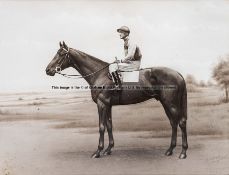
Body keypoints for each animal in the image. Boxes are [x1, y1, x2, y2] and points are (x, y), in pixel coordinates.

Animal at [45, 41, 188, 159]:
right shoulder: (108, 105)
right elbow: (109, 125)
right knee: (173, 123)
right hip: (165, 103)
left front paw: (98, 151)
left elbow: (101, 126)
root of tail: (178, 74)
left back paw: (183, 152)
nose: (48, 70)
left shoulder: (101, 104)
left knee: (180, 122)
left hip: (171, 104)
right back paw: (170, 150)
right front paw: (108, 149)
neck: (100, 74)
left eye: (61, 54)